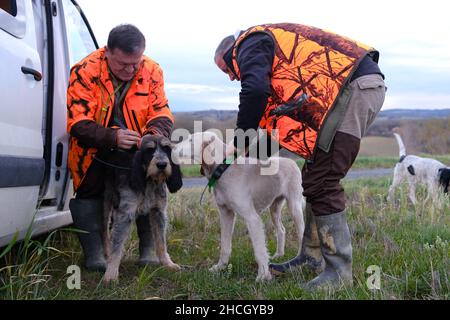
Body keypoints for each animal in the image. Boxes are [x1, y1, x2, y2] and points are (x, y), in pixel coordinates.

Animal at [173, 131, 306, 282]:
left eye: (190, 140)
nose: (172, 147)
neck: (222, 170)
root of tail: (292, 162)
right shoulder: (226, 214)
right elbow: (225, 246)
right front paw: (220, 267)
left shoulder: (252, 218)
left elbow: (259, 250)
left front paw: (263, 275)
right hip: (274, 208)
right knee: (281, 230)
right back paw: (279, 254)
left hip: (294, 206)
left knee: (302, 232)